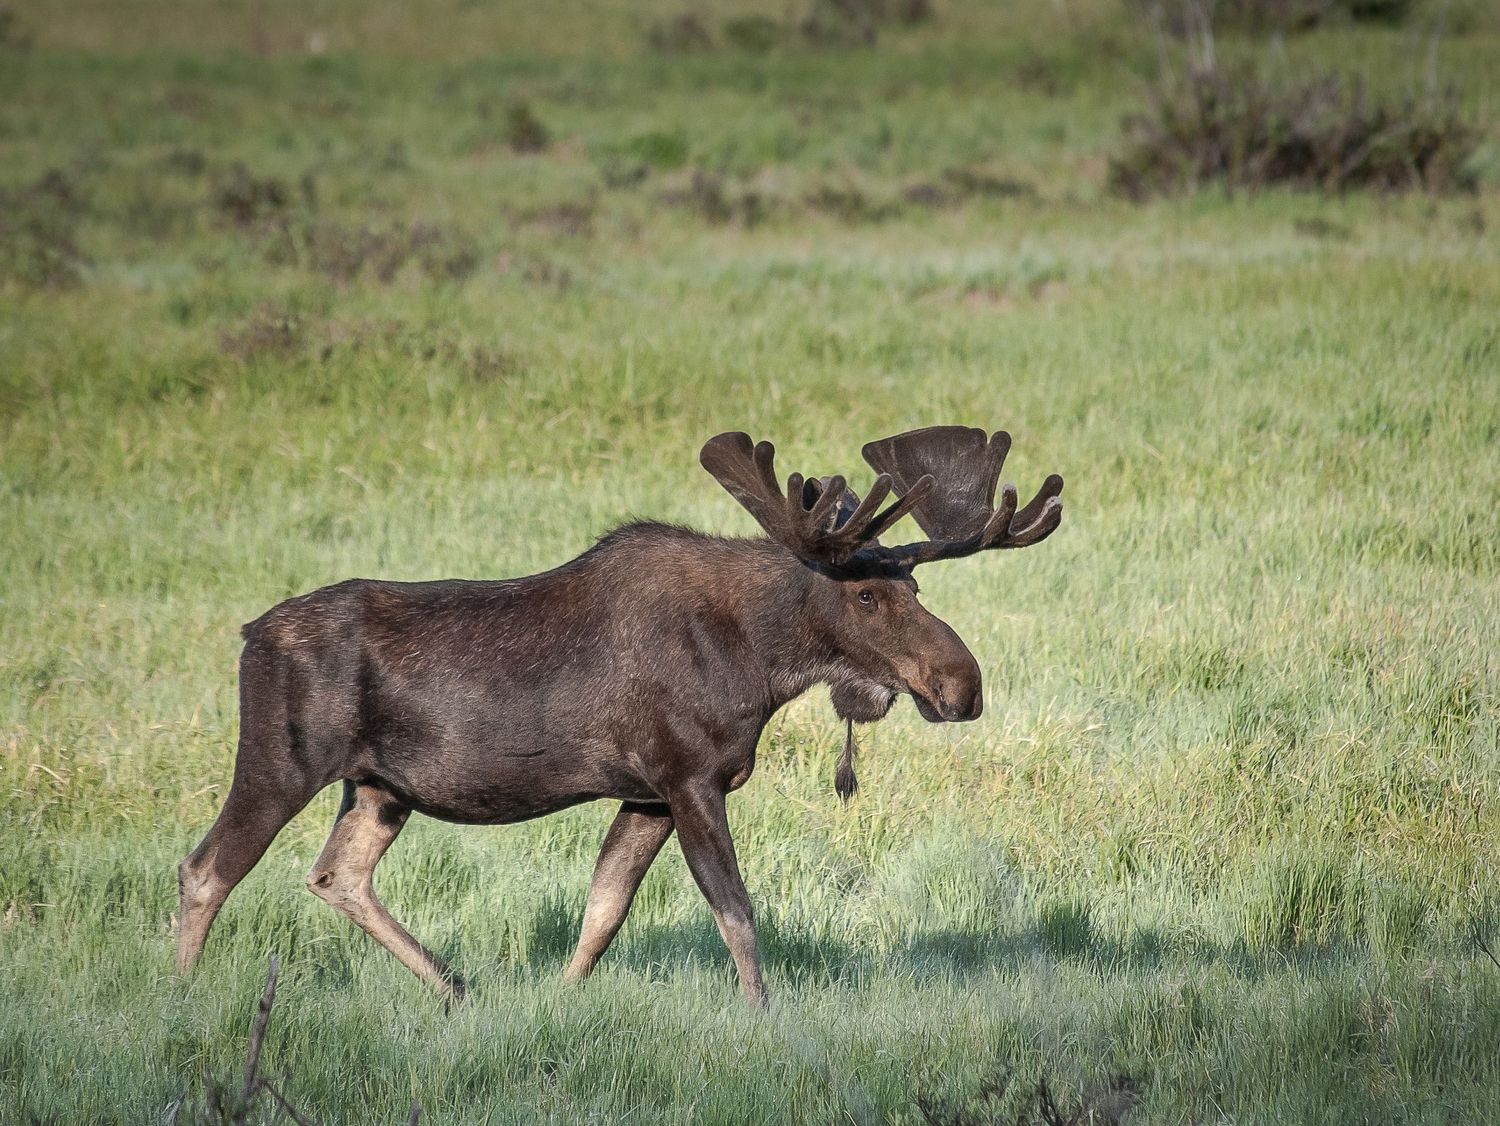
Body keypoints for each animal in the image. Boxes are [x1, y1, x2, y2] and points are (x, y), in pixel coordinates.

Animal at [175, 426, 1064, 1008]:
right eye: (869, 594)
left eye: (915, 586)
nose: (962, 684)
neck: (762, 660)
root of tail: (247, 635)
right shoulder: (690, 776)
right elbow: (736, 910)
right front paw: (763, 1015)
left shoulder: (644, 792)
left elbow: (603, 912)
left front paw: (562, 1003)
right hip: (281, 761)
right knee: (207, 868)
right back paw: (182, 997)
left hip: (379, 786)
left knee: (337, 874)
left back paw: (456, 986)